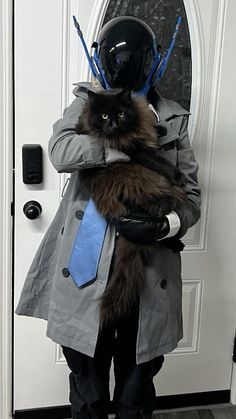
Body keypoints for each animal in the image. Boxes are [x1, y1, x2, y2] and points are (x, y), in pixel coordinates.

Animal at [75, 89, 186, 328]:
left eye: (121, 114)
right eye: (104, 115)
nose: (113, 124)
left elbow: (153, 127)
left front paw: (160, 128)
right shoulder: (136, 151)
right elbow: (159, 161)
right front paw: (178, 176)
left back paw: (174, 241)